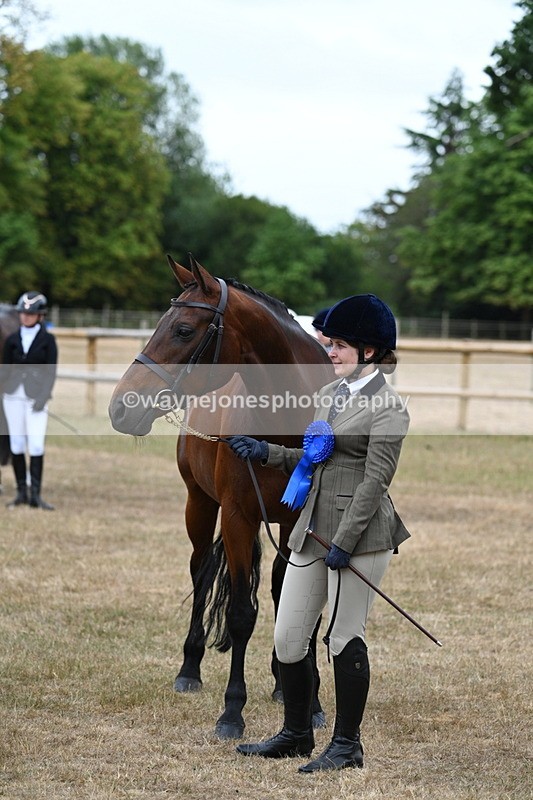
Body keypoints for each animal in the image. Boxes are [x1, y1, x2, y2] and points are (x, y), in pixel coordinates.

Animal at [108, 255, 334, 739]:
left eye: (183, 330)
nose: (120, 407)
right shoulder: (235, 517)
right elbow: (240, 614)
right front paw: (232, 712)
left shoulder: (301, 524)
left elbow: (296, 605)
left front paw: (308, 700)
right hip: (199, 505)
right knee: (200, 574)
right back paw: (189, 669)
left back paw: (281, 682)